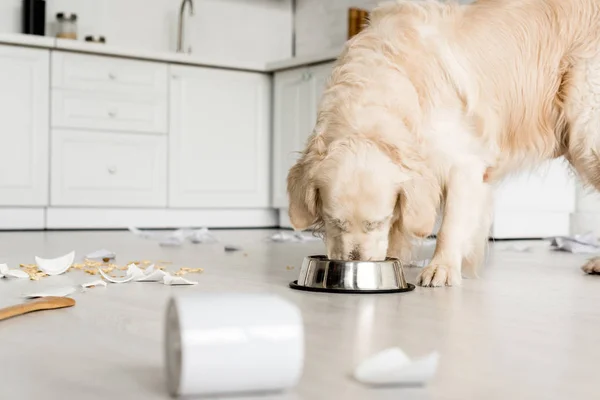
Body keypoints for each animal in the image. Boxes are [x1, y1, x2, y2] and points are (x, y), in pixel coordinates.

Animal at [284, 0, 600, 288]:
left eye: (377, 222)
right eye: (333, 221)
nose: (354, 264)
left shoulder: (465, 165)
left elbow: (450, 225)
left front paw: (442, 268)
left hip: (586, 134)